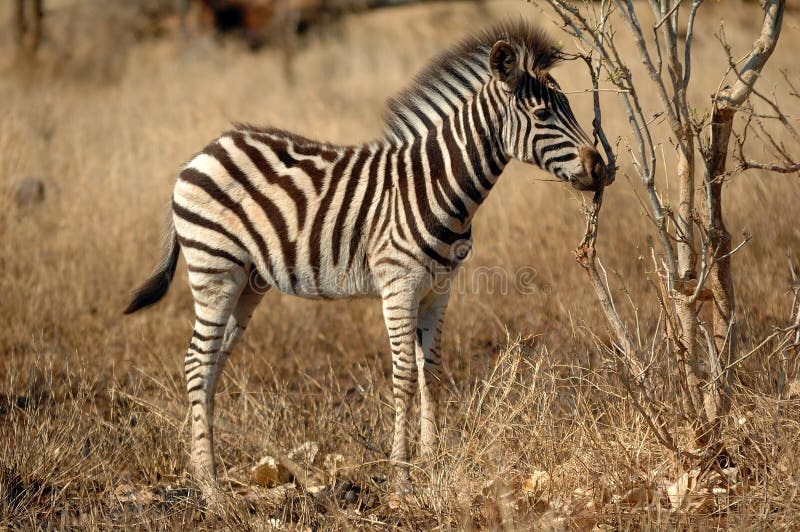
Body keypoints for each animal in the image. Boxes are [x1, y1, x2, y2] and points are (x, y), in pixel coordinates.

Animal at [126, 20, 612, 500]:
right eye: (543, 115)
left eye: (569, 106)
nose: (601, 169)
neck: (439, 185)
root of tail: (204, 151)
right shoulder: (399, 285)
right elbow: (403, 376)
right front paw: (401, 477)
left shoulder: (440, 288)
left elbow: (430, 371)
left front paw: (431, 463)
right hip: (215, 268)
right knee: (196, 361)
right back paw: (210, 490)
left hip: (248, 281)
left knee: (211, 363)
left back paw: (201, 472)